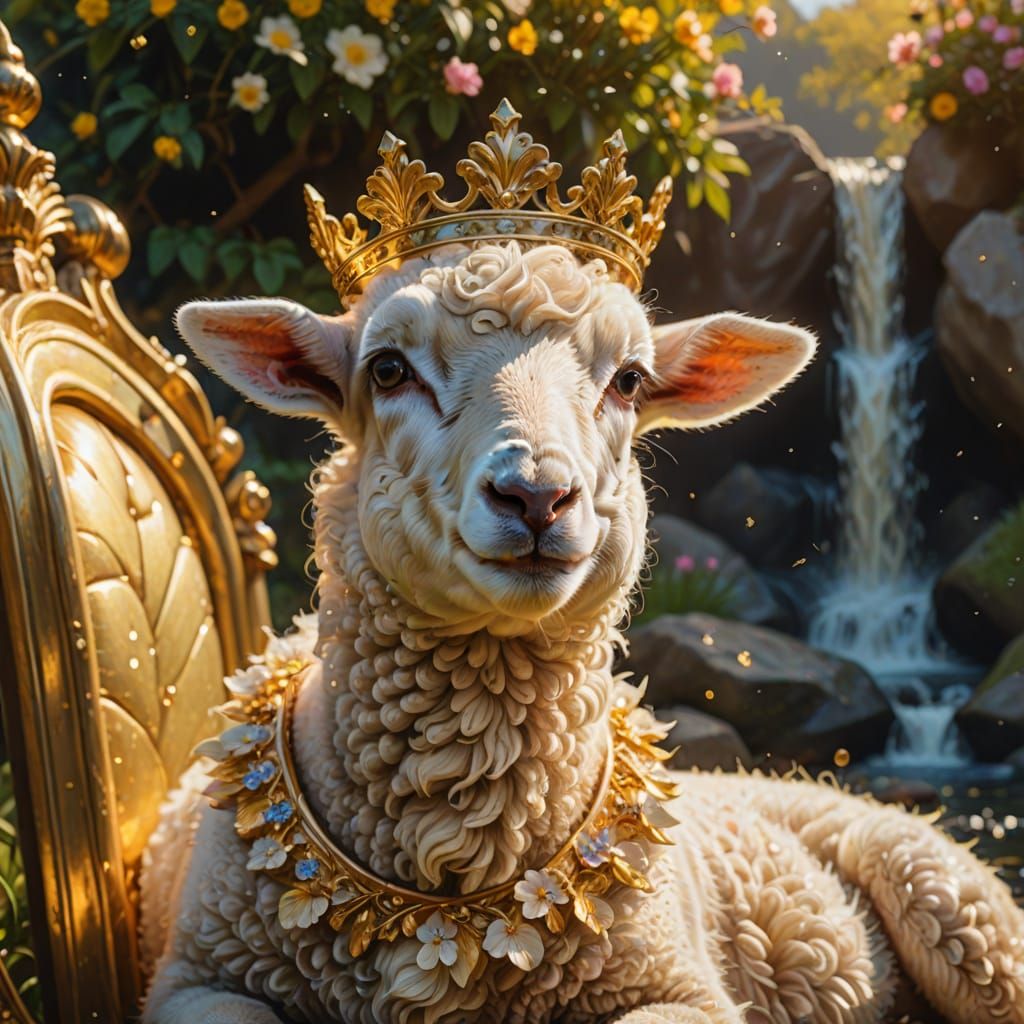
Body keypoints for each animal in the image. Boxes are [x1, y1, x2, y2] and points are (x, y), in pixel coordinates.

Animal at [142, 240, 1024, 1024]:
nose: (536, 495)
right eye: (388, 370)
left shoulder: (682, 990)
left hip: (961, 913)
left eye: (629, 380)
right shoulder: (197, 976)